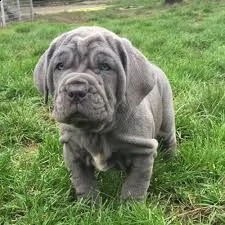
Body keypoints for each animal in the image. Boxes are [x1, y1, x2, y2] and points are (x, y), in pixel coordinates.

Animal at [33, 25, 178, 200]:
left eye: (105, 67)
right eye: (59, 66)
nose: (76, 90)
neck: (95, 131)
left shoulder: (142, 151)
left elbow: (135, 185)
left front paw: (131, 205)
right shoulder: (73, 152)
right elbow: (83, 181)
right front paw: (89, 203)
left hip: (166, 116)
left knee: (169, 138)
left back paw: (171, 162)